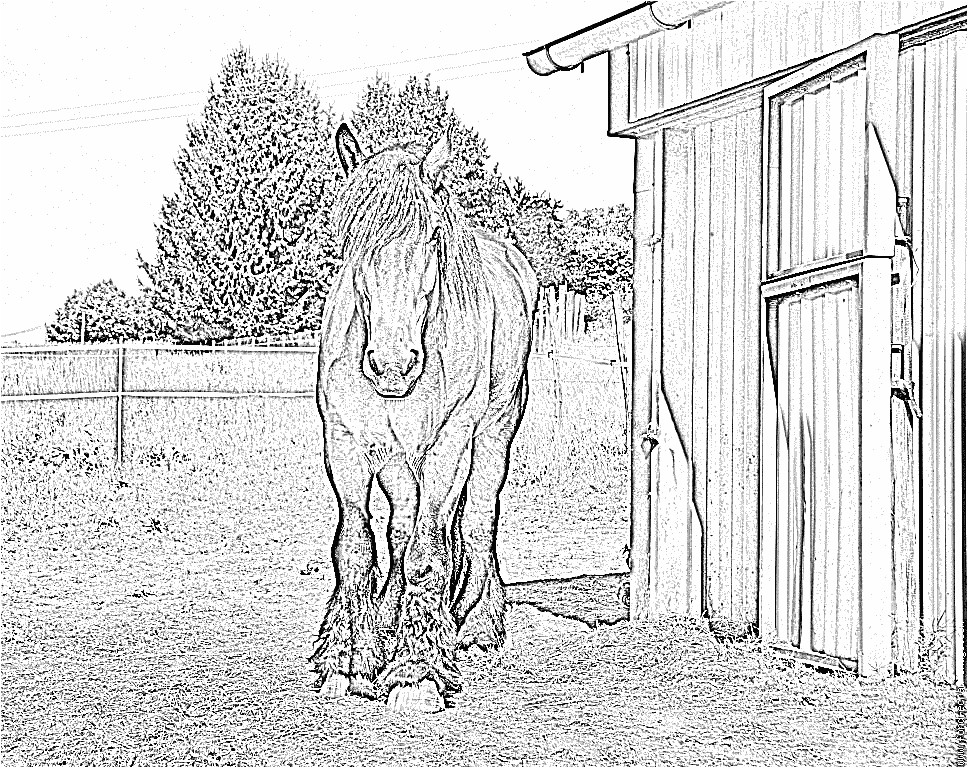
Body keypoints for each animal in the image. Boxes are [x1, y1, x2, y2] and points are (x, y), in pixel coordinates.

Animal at [310, 122, 537, 713]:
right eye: (351, 239)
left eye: (432, 239)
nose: (392, 364)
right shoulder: (345, 443)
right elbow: (358, 547)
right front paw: (348, 658)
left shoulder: (445, 446)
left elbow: (427, 556)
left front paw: (416, 670)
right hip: (397, 461)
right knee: (402, 530)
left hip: (492, 437)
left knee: (476, 520)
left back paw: (478, 625)